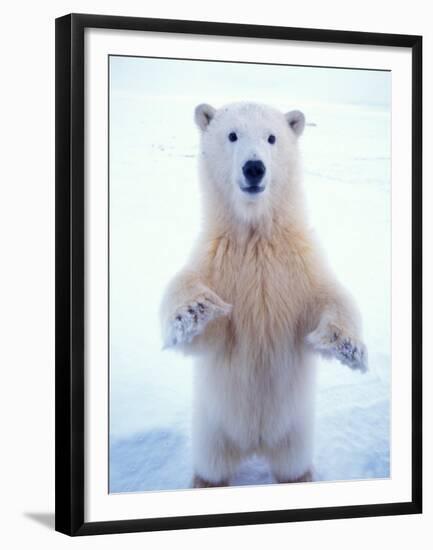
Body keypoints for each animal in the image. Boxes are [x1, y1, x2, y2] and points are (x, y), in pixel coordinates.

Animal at [160, 101, 366, 490]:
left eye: (272, 137)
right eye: (232, 134)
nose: (254, 168)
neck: (256, 236)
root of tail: (255, 444)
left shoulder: (297, 265)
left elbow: (329, 296)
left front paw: (347, 345)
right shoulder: (218, 261)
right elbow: (197, 316)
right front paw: (195, 308)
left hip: (296, 432)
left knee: (292, 466)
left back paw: (301, 477)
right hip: (212, 429)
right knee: (212, 467)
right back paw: (204, 481)